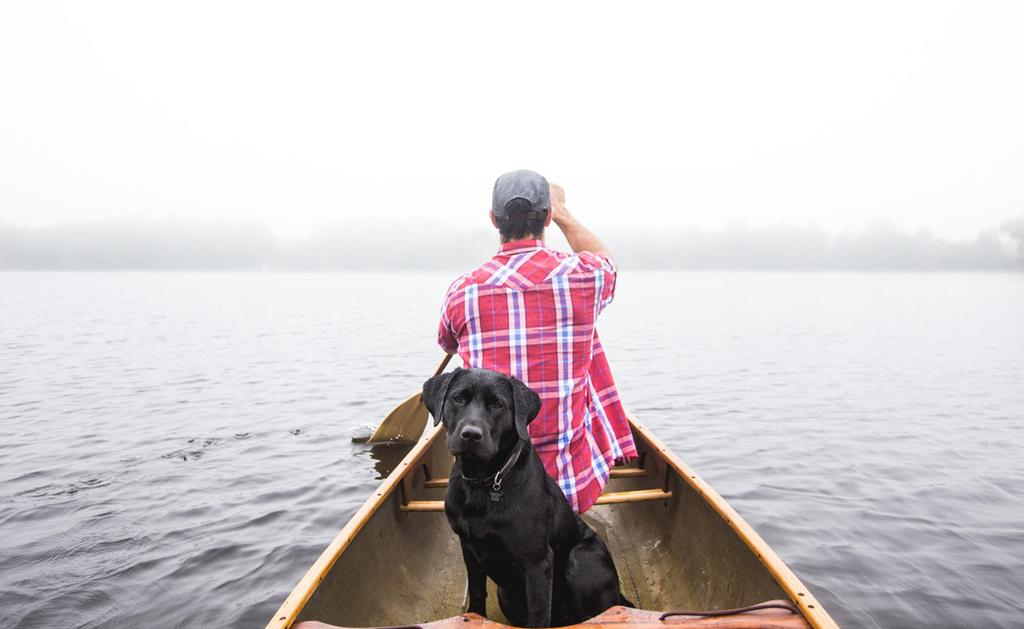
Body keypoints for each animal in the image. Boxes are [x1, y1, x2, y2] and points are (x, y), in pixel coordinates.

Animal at [417, 366, 626, 626]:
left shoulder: (537, 563)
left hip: (582, 559)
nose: (471, 435)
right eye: (458, 398)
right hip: (505, 593)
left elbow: (538, 615)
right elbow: (477, 593)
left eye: (498, 404)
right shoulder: (469, 549)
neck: (485, 484)